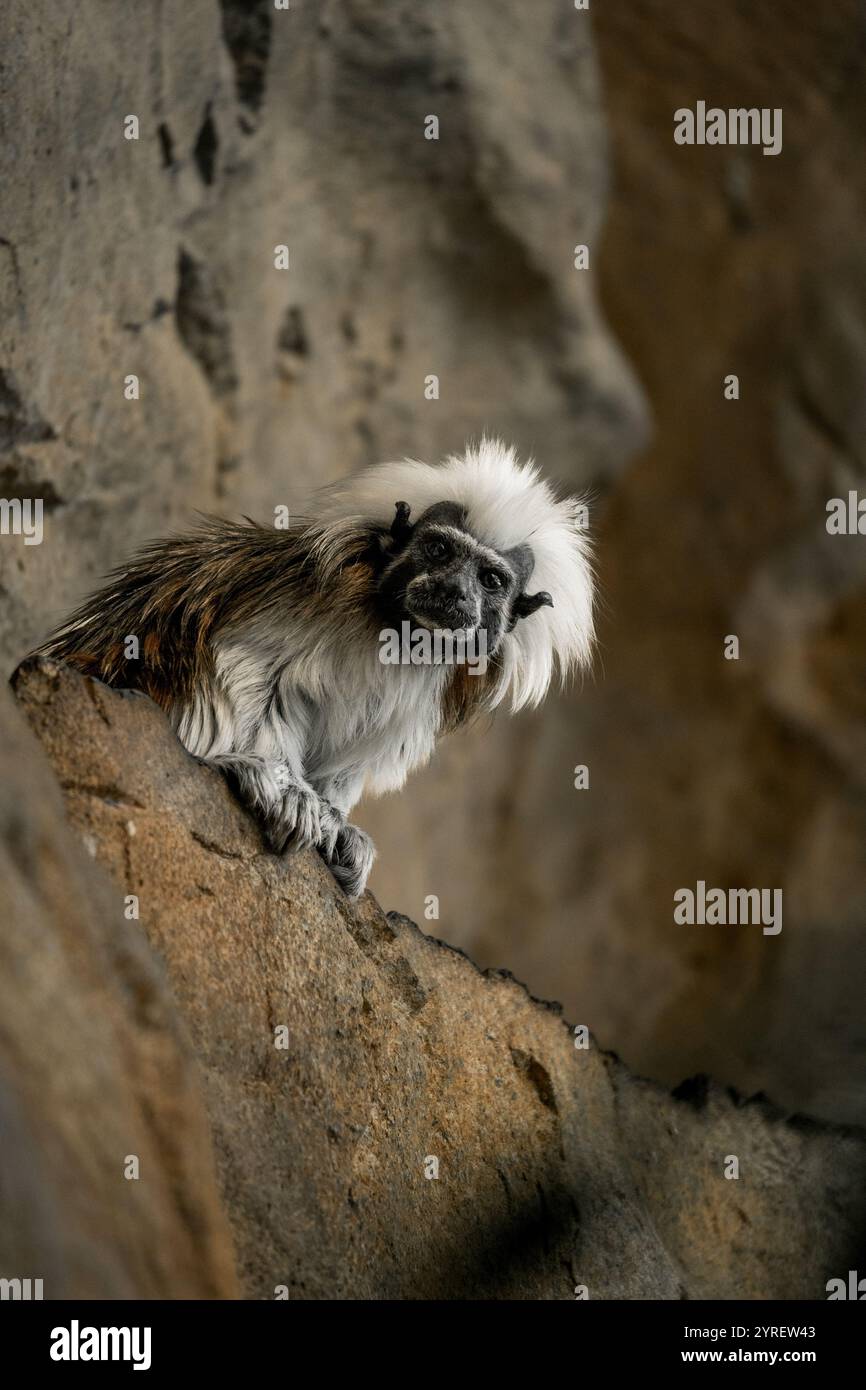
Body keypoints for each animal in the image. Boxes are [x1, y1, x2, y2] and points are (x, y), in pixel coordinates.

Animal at [38, 438, 594, 897]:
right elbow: (246, 666)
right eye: (438, 550)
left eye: (491, 580)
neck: (395, 632)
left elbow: (354, 752)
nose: (454, 590)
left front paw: (337, 823)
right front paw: (282, 787)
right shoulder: (300, 597)